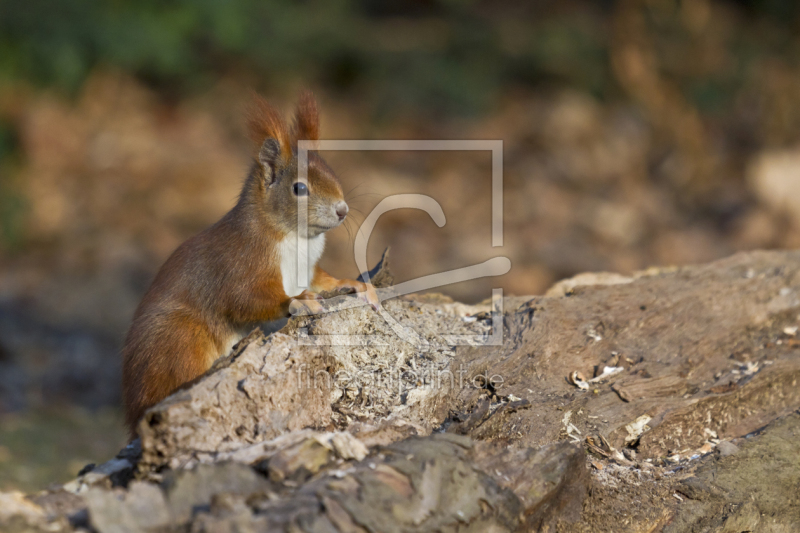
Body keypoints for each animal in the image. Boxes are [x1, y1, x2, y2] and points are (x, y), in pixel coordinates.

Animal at [122, 90, 378, 432]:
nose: (342, 210)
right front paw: (299, 301)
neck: (296, 237)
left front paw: (354, 285)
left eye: (332, 170)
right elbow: (245, 298)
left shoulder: (307, 269)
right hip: (180, 339)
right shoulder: (242, 260)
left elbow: (323, 280)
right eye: (299, 188)